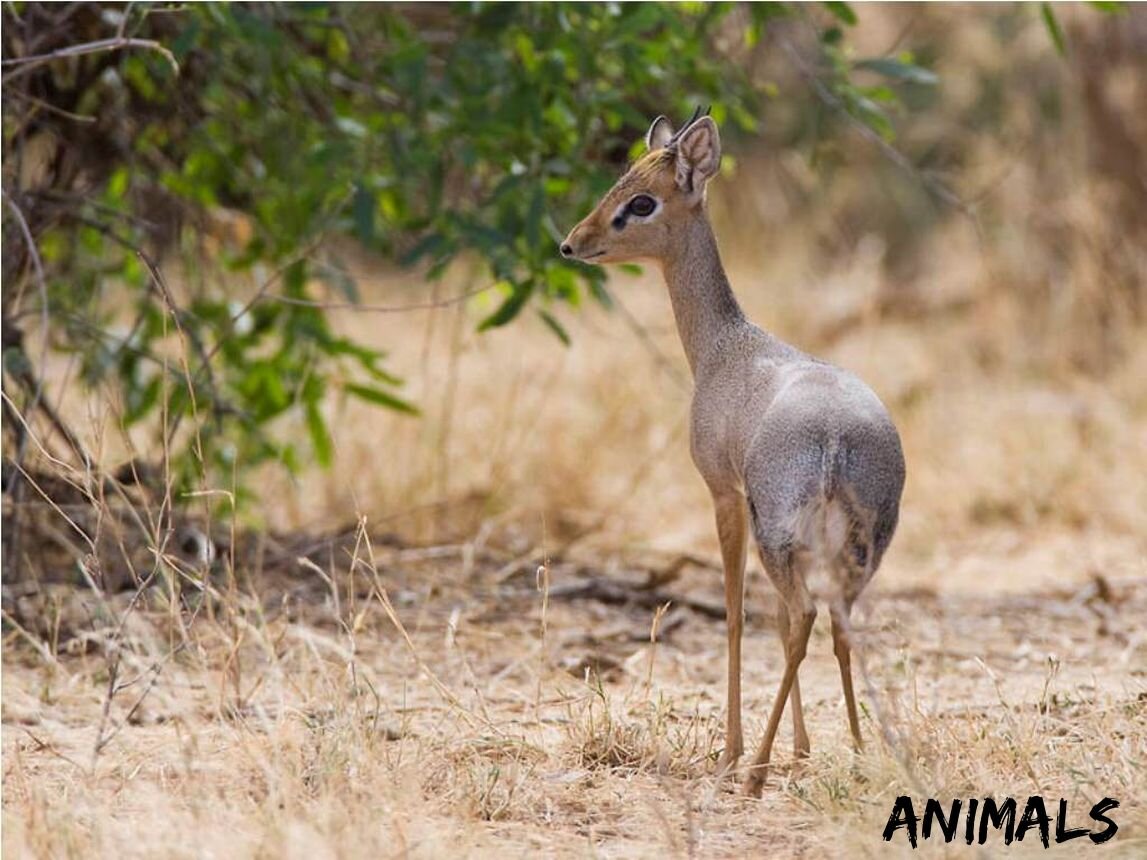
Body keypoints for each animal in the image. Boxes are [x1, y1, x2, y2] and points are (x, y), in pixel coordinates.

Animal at [562, 109, 903, 802]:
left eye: (642, 201)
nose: (572, 243)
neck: (724, 346)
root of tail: (836, 441)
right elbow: (773, 618)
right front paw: (805, 749)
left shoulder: (723, 493)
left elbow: (737, 614)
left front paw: (736, 751)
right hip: (857, 548)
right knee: (833, 622)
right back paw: (856, 754)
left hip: (781, 536)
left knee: (802, 618)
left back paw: (754, 771)